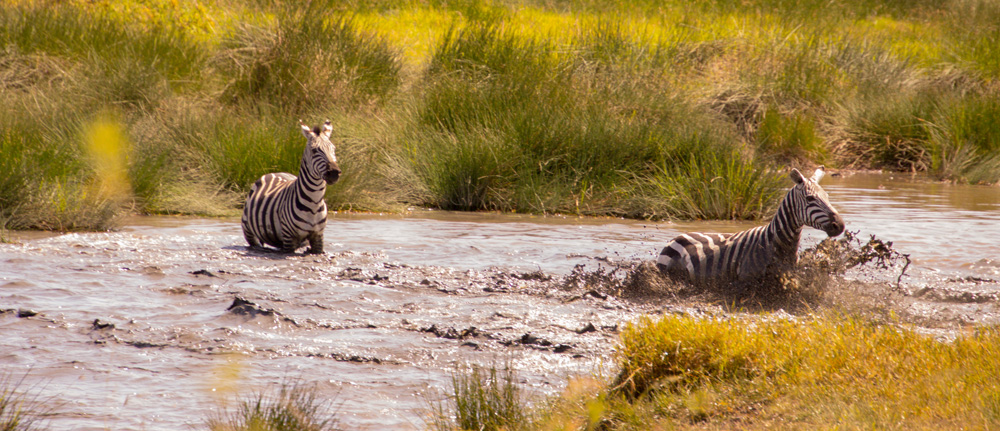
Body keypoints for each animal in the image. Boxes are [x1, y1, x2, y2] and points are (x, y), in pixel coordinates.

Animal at [241, 120, 341, 254]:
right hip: (248, 230)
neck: (314, 203)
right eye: (314, 150)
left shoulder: (318, 237)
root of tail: (274, 172)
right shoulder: (289, 239)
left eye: (333, 149)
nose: (334, 173)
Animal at [656, 166, 845, 286]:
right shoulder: (747, 279)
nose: (840, 226)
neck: (776, 243)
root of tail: (678, 236)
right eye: (810, 199)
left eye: (827, 196)